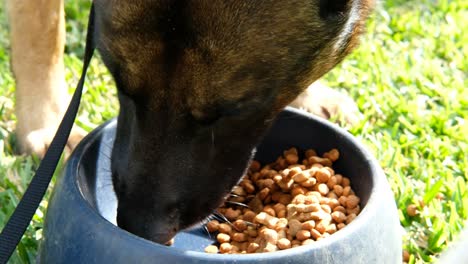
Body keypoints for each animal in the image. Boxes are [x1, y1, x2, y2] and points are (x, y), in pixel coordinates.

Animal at [8, 0, 372, 244]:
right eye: (121, 83)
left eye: (232, 110)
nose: (141, 228)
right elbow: (40, 25)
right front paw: (47, 121)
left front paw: (310, 94)